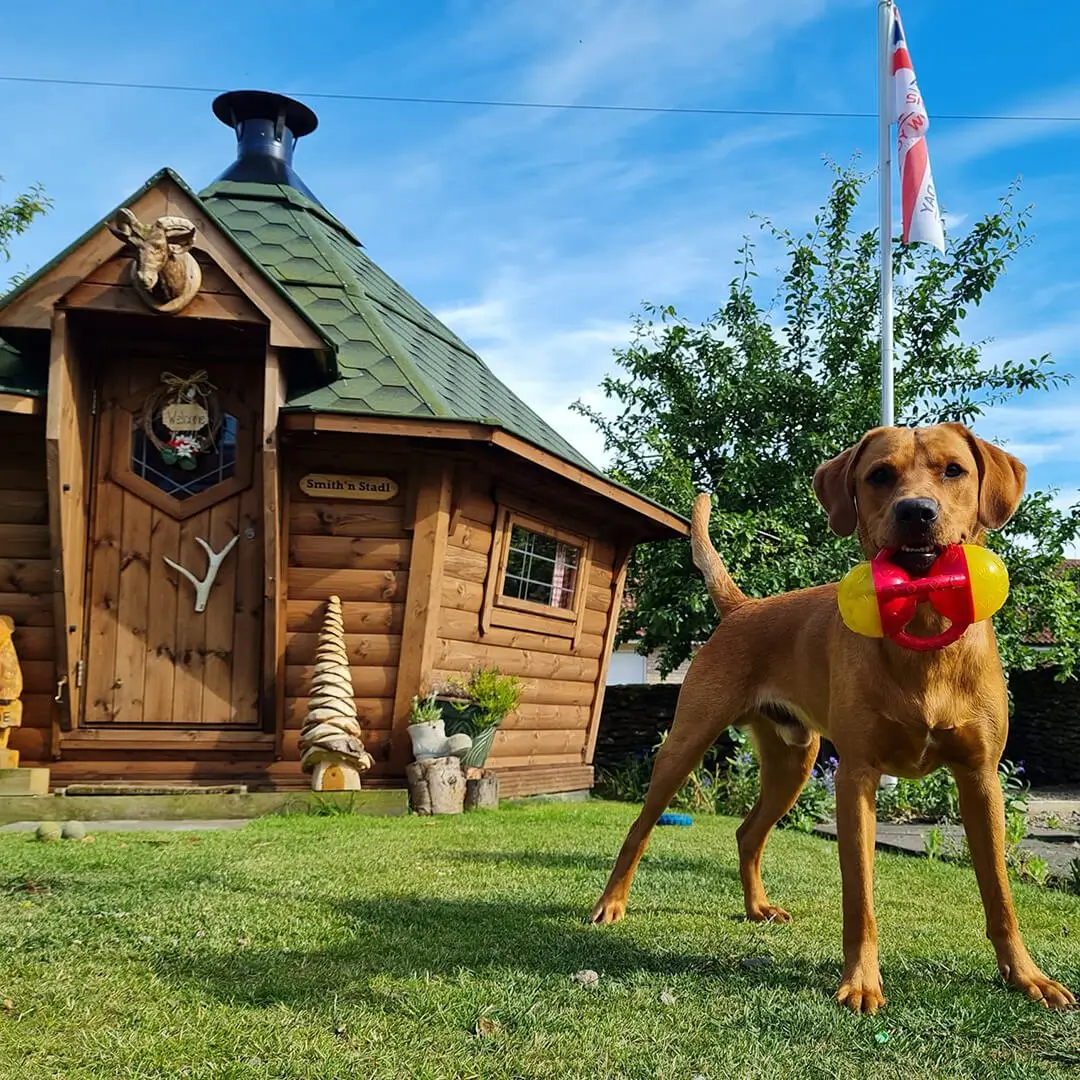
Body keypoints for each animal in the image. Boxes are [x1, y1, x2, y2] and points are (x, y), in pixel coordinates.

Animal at [596, 421, 1075, 1010]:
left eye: (953, 470)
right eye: (880, 476)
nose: (917, 511)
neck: (922, 635)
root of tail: (743, 607)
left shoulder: (982, 778)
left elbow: (1001, 894)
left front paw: (1026, 976)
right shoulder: (857, 778)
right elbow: (860, 895)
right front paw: (862, 981)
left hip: (794, 762)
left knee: (748, 832)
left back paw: (757, 907)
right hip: (685, 744)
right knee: (640, 829)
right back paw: (611, 903)